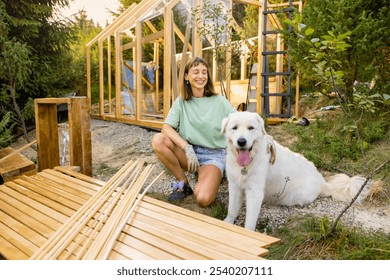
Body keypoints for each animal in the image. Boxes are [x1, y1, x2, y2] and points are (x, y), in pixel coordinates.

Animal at [221, 110, 370, 231]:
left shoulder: (255, 192)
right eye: (234, 128)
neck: (245, 165)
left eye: (251, 128)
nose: (241, 141)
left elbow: (250, 220)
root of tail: (323, 182)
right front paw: (227, 223)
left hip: (293, 196)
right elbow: (231, 210)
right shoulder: (234, 186)